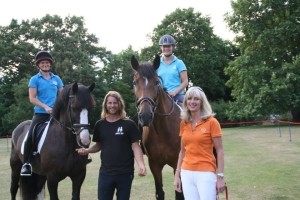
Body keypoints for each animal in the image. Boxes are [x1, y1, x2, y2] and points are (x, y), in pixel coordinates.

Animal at [132, 55, 185, 200]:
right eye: (135, 82)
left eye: (156, 82)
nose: (145, 116)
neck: (163, 131)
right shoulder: (154, 164)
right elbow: (159, 193)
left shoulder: (176, 164)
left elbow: (179, 194)